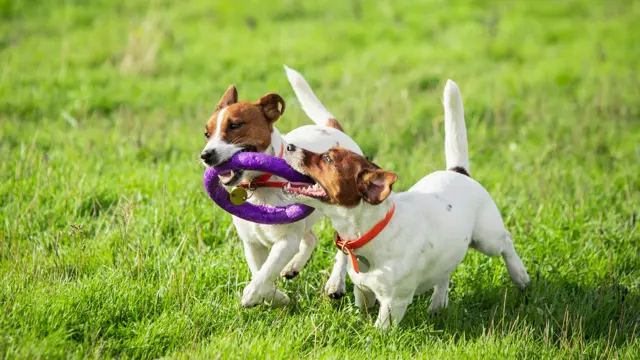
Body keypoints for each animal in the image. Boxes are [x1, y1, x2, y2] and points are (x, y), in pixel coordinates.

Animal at [201, 65, 360, 306]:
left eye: (235, 125)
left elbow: (267, 270)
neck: (259, 185)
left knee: (343, 248)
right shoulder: (252, 244)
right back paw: (293, 267)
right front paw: (276, 297)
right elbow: (260, 271)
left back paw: (335, 283)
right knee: (311, 239)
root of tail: (333, 129)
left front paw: (252, 294)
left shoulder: (286, 241)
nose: (205, 155)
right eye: (207, 134)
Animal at [282, 80, 528, 328]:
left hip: (487, 238)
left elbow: (379, 329)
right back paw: (438, 303)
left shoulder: (393, 303)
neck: (371, 231)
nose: (289, 146)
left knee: (506, 242)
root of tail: (458, 171)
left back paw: (520, 275)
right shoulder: (363, 291)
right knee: (445, 272)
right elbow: (363, 306)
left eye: (328, 159)